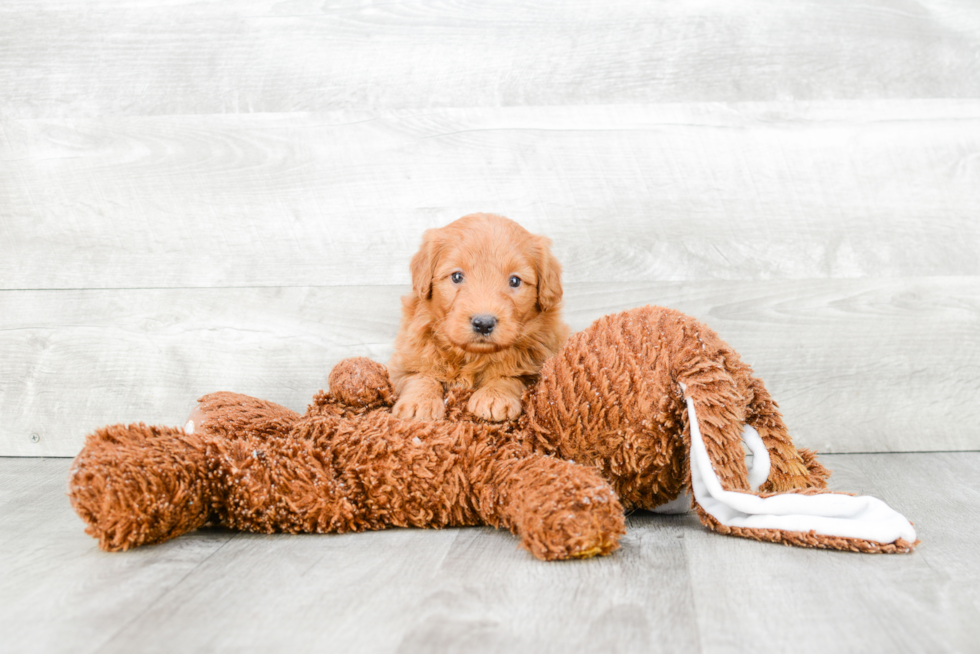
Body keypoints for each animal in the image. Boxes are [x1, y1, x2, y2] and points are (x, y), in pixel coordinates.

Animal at [390, 213, 572, 422]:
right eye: (457, 276)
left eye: (515, 280)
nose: (484, 323)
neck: (473, 355)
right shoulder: (403, 362)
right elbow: (419, 375)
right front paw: (419, 403)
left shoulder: (536, 369)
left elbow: (511, 376)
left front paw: (494, 397)